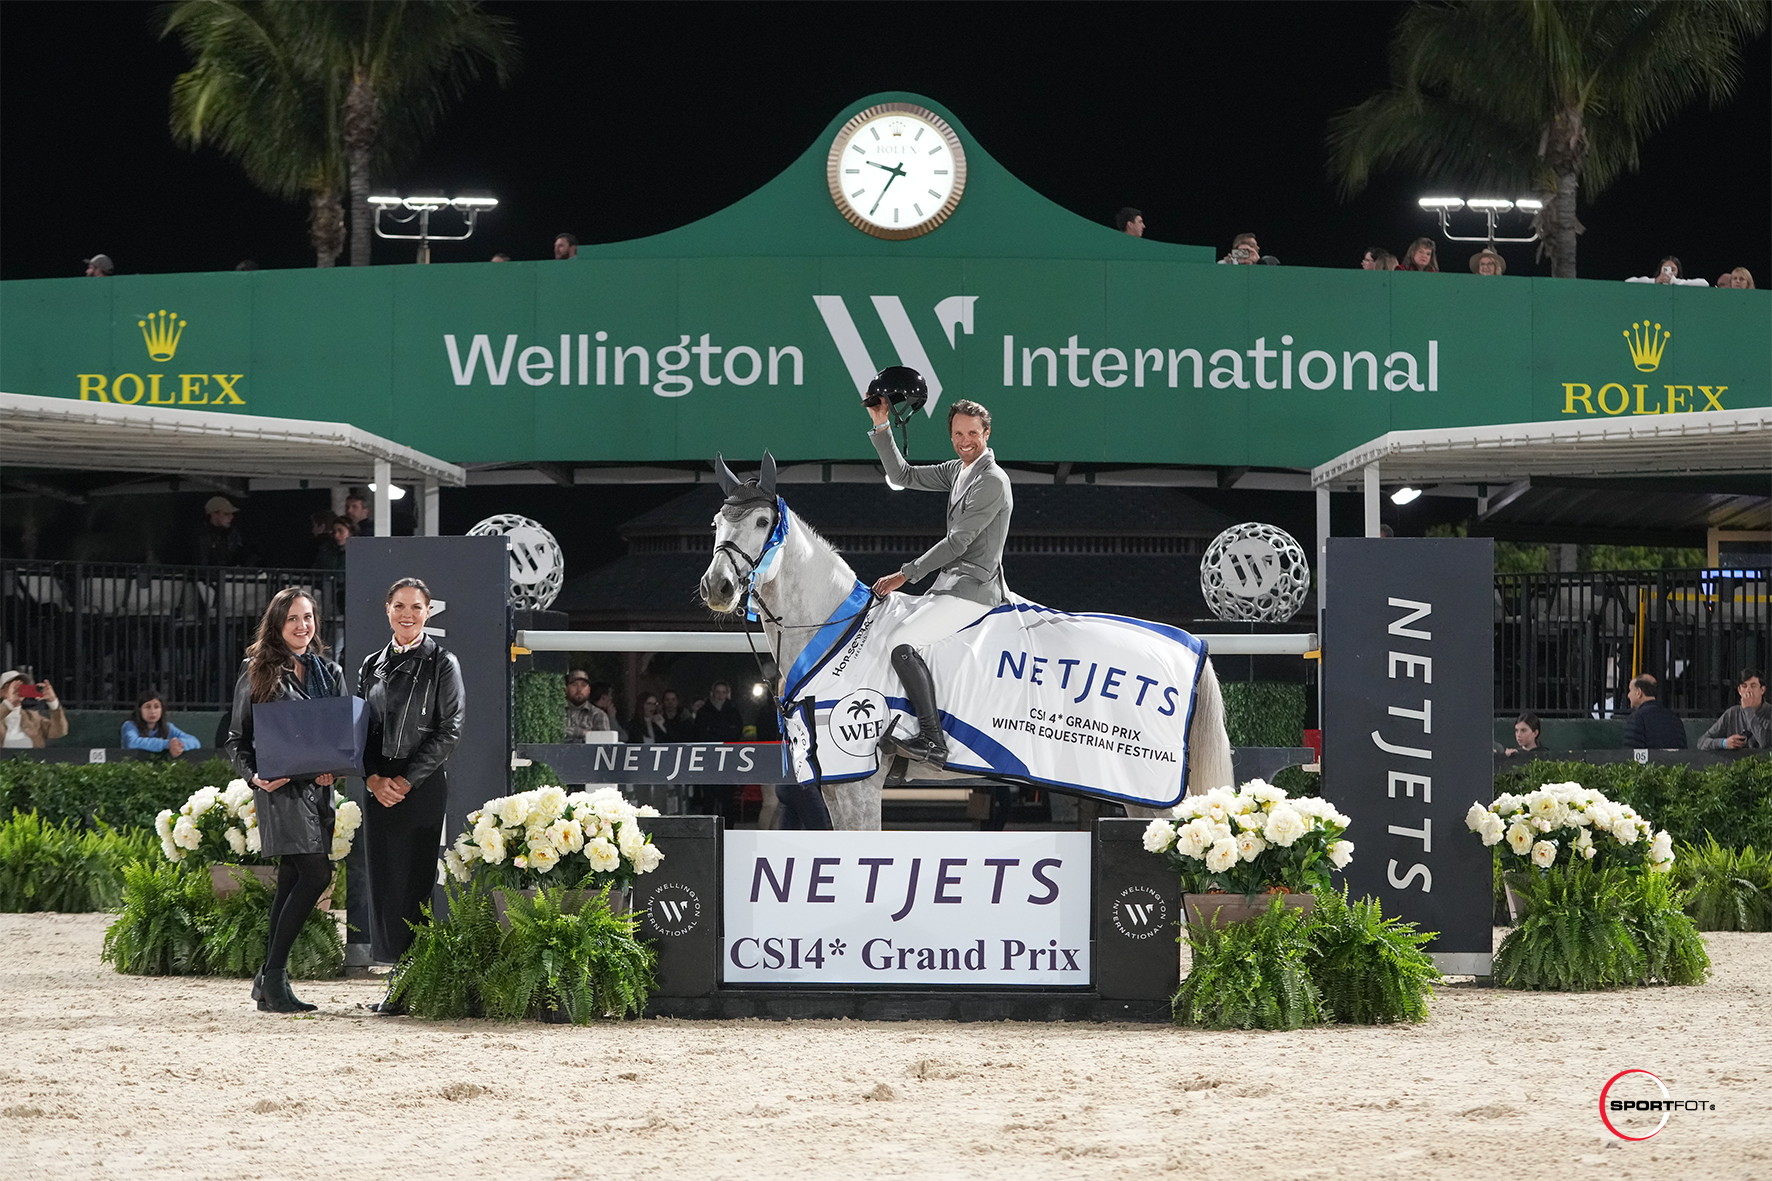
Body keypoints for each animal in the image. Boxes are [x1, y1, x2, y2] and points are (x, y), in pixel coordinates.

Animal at [694, 452, 1233, 826]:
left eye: (763, 522)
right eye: (717, 522)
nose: (717, 587)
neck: (832, 630)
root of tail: (1187, 645)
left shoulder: (857, 783)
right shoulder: (834, 785)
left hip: (1151, 797)